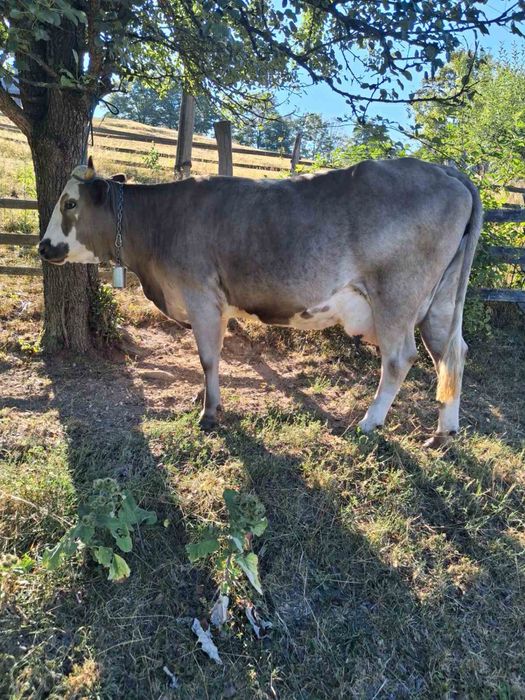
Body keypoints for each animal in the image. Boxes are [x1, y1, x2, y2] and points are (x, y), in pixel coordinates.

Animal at [39, 156, 482, 447]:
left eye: (70, 203)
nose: (44, 247)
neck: (161, 224)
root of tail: (445, 170)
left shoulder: (201, 297)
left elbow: (208, 357)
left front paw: (209, 413)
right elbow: (212, 357)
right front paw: (204, 399)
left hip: (396, 297)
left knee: (399, 358)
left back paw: (368, 423)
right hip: (440, 303)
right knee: (452, 353)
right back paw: (443, 432)